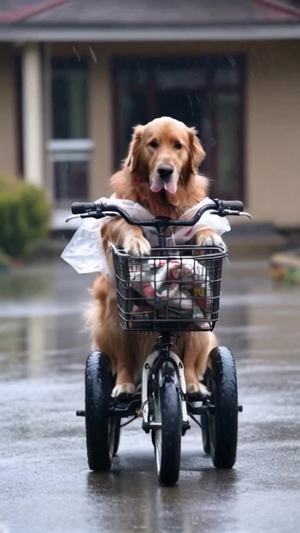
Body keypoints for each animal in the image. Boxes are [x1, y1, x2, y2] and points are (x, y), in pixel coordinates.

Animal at [88, 117, 224, 400]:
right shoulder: (115, 220)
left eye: (178, 146)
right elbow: (127, 225)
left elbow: (199, 227)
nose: (164, 171)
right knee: (123, 361)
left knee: (190, 361)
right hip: (114, 315)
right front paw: (137, 241)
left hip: (199, 323)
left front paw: (209, 235)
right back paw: (124, 385)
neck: (162, 207)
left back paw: (193, 384)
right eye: (153, 144)